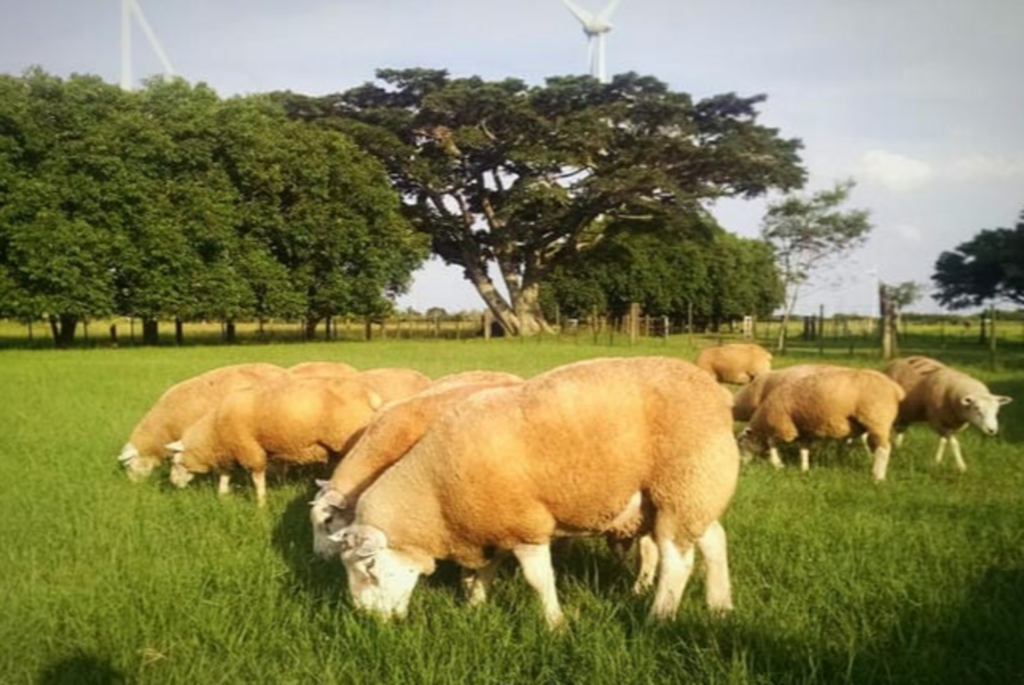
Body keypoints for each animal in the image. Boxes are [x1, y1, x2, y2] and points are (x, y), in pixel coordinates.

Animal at [331, 356, 741, 626]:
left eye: (368, 567)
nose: (367, 620)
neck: (436, 495)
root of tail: (717, 394)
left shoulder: (525, 527)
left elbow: (539, 580)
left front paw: (554, 624)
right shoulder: (490, 526)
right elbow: (485, 571)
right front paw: (476, 607)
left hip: (681, 486)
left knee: (678, 562)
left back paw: (659, 617)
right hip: (700, 490)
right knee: (715, 540)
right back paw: (720, 606)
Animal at [737, 366, 905, 479]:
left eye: (741, 444)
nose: (741, 465)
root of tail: (895, 388)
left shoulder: (784, 426)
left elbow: (772, 442)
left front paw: (777, 464)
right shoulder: (802, 430)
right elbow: (803, 450)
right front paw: (804, 468)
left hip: (877, 419)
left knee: (884, 449)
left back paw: (878, 476)